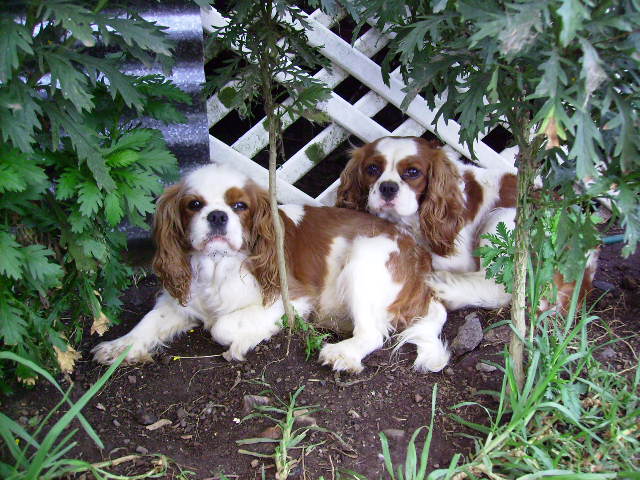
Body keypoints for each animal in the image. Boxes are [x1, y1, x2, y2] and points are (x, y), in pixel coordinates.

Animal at [92, 163, 451, 373]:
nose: (217, 215)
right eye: (194, 205)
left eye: (240, 206)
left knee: (372, 333)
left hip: (364, 260)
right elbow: (149, 323)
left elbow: (220, 326)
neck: (217, 263)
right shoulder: (179, 299)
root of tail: (420, 255)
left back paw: (343, 354)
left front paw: (244, 341)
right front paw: (120, 346)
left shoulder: (293, 301)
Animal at [335, 136, 598, 314]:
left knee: (500, 287)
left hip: (505, 220)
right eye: (372, 169)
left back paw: (446, 288)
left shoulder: (458, 258)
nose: (388, 187)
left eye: (413, 172)